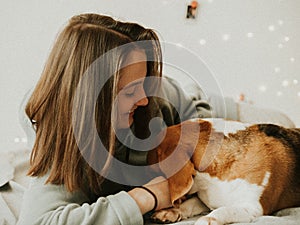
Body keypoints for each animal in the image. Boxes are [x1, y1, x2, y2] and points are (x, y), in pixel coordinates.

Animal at [149, 118, 300, 224]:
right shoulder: (206, 199)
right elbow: (189, 204)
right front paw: (171, 211)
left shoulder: (253, 207)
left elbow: (224, 209)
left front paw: (207, 220)